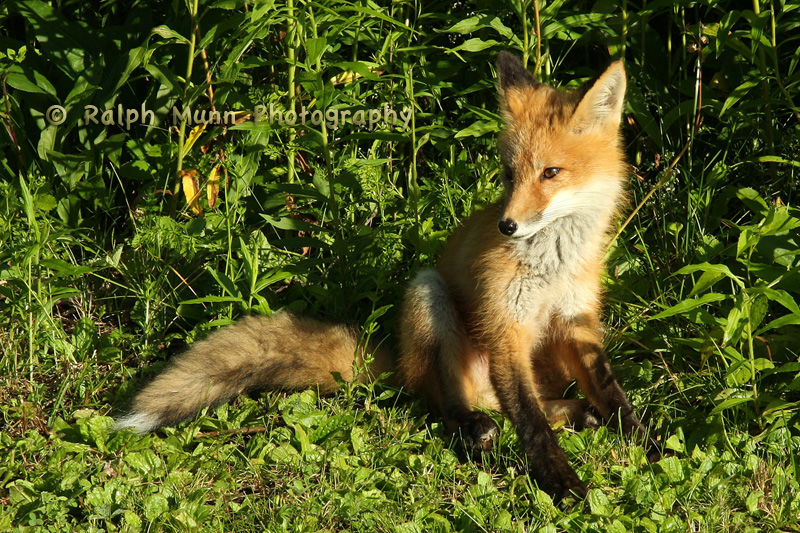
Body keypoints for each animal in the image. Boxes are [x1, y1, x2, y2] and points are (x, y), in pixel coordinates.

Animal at [119, 53, 656, 502]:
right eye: (509, 175)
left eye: (551, 173)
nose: (507, 225)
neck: (552, 265)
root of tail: (397, 363)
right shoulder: (506, 328)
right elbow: (531, 426)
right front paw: (564, 486)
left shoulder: (577, 323)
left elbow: (611, 395)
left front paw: (648, 447)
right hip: (429, 295)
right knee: (452, 401)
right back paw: (473, 428)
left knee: (531, 402)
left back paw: (578, 414)